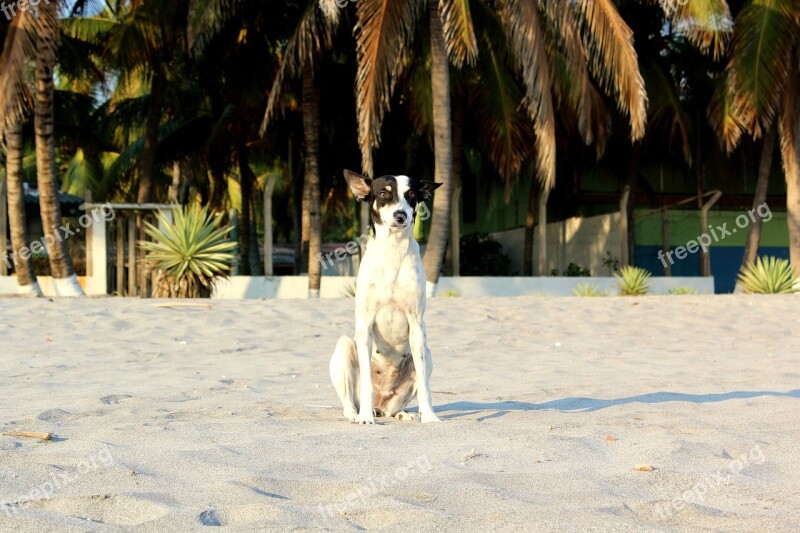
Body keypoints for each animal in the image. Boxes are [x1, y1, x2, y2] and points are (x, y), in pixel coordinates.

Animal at [330, 170, 444, 424]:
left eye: (411, 195)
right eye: (383, 193)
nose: (400, 215)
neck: (393, 249)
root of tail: (381, 405)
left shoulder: (417, 324)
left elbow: (425, 386)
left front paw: (429, 416)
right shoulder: (364, 324)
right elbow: (366, 384)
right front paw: (365, 418)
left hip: (428, 353)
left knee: (400, 402)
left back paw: (403, 413)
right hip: (344, 348)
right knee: (348, 403)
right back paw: (359, 414)